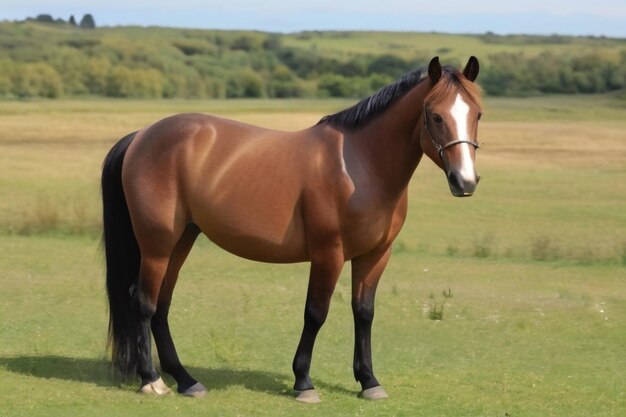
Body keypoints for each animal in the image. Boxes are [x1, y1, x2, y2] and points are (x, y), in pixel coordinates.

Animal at [101, 56, 482, 404]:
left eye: (477, 114)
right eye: (435, 116)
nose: (465, 182)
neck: (358, 165)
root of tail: (142, 136)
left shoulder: (375, 256)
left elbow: (364, 313)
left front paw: (369, 381)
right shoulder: (328, 254)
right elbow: (315, 314)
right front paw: (304, 383)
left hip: (182, 239)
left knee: (162, 305)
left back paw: (185, 379)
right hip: (157, 245)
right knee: (144, 302)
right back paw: (152, 381)